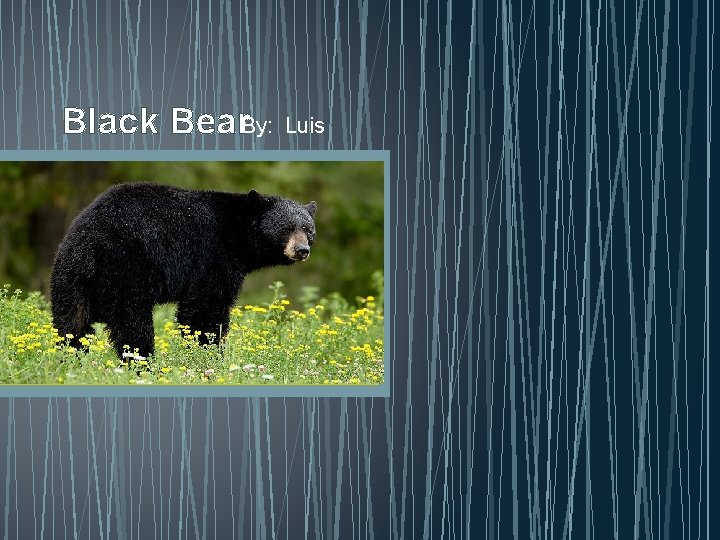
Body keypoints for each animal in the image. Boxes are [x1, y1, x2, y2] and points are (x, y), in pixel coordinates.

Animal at [50, 182, 317, 360]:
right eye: (286, 227)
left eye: (308, 229)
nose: (302, 249)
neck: (238, 236)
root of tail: (88, 245)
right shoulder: (213, 256)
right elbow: (205, 309)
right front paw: (210, 354)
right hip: (127, 270)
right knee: (132, 322)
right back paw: (142, 362)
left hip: (69, 278)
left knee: (71, 321)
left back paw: (72, 358)